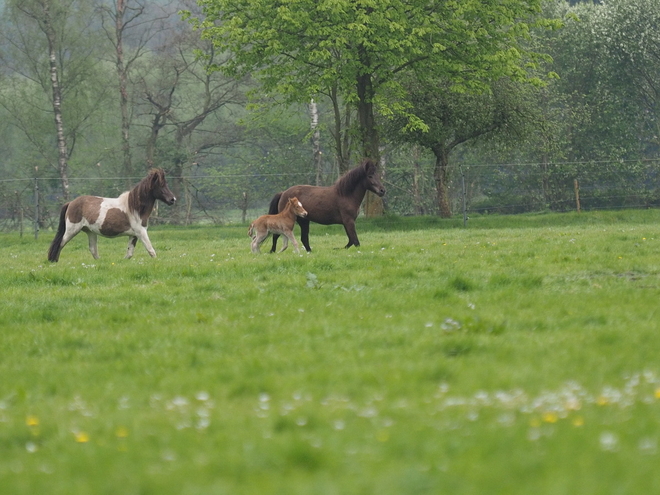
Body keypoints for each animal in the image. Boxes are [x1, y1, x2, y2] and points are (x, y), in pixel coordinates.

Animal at [47, 170, 175, 264]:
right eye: (161, 185)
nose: (173, 199)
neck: (134, 207)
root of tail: (71, 203)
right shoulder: (141, 232)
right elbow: (151, 250)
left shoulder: (134, 235)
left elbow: (129, 253)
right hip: (72, 230)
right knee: (60, 243)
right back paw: (54, 261)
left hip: (90, 232)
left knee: (93, 249)